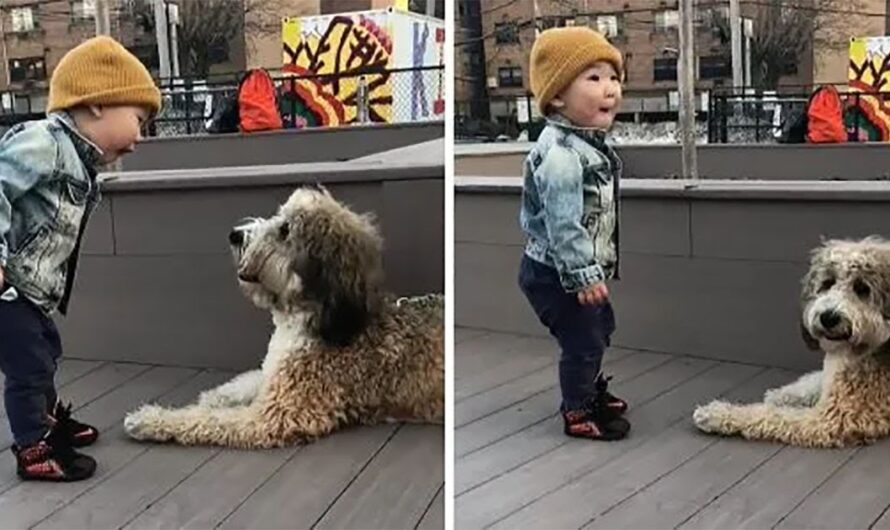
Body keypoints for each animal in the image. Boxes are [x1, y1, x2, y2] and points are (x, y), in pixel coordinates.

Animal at [123, 186, 442, 446]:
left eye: (285, 230)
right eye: (278, 217)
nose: (235, 234)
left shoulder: (277, 414)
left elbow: (209, 420)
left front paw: (151, 419)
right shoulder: (274, 374)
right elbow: (247, 381)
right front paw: (214, 397)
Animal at [692, 235, 888, 446]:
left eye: (862, 288)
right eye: (828, 283)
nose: (828, 317)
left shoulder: (833, 418)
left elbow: (771, 414)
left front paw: (716, 414)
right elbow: (813, 380)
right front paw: (782, 394)